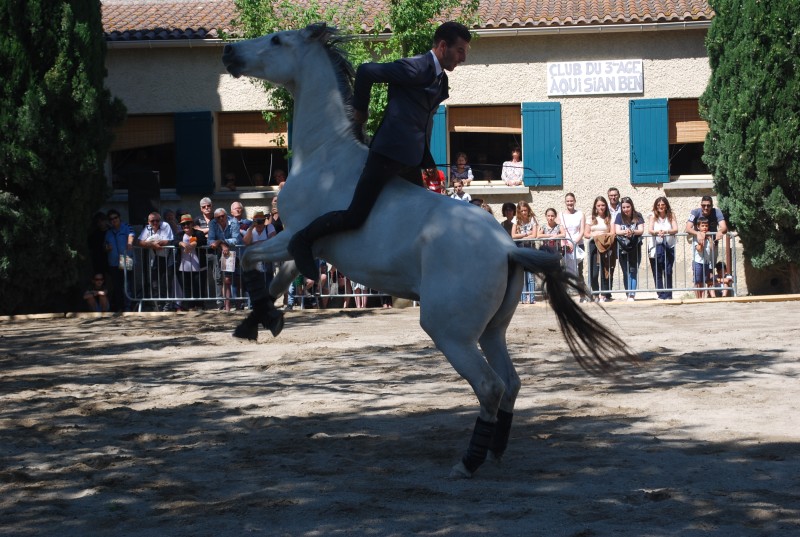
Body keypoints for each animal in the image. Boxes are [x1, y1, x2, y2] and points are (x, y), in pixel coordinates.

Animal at [222, 24, 636, 478]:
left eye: (277, 41)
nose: (229, 53)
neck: (324, 156)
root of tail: (508, 249)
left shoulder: (295, 234)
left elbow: (249, 259)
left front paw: (262, 318)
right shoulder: (302, 246)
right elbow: (277, 280)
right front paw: (260, 321)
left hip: (447, 330)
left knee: (490, 386)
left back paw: (468, 463)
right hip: (490, 330)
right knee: (511, 382)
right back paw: (494, 451)